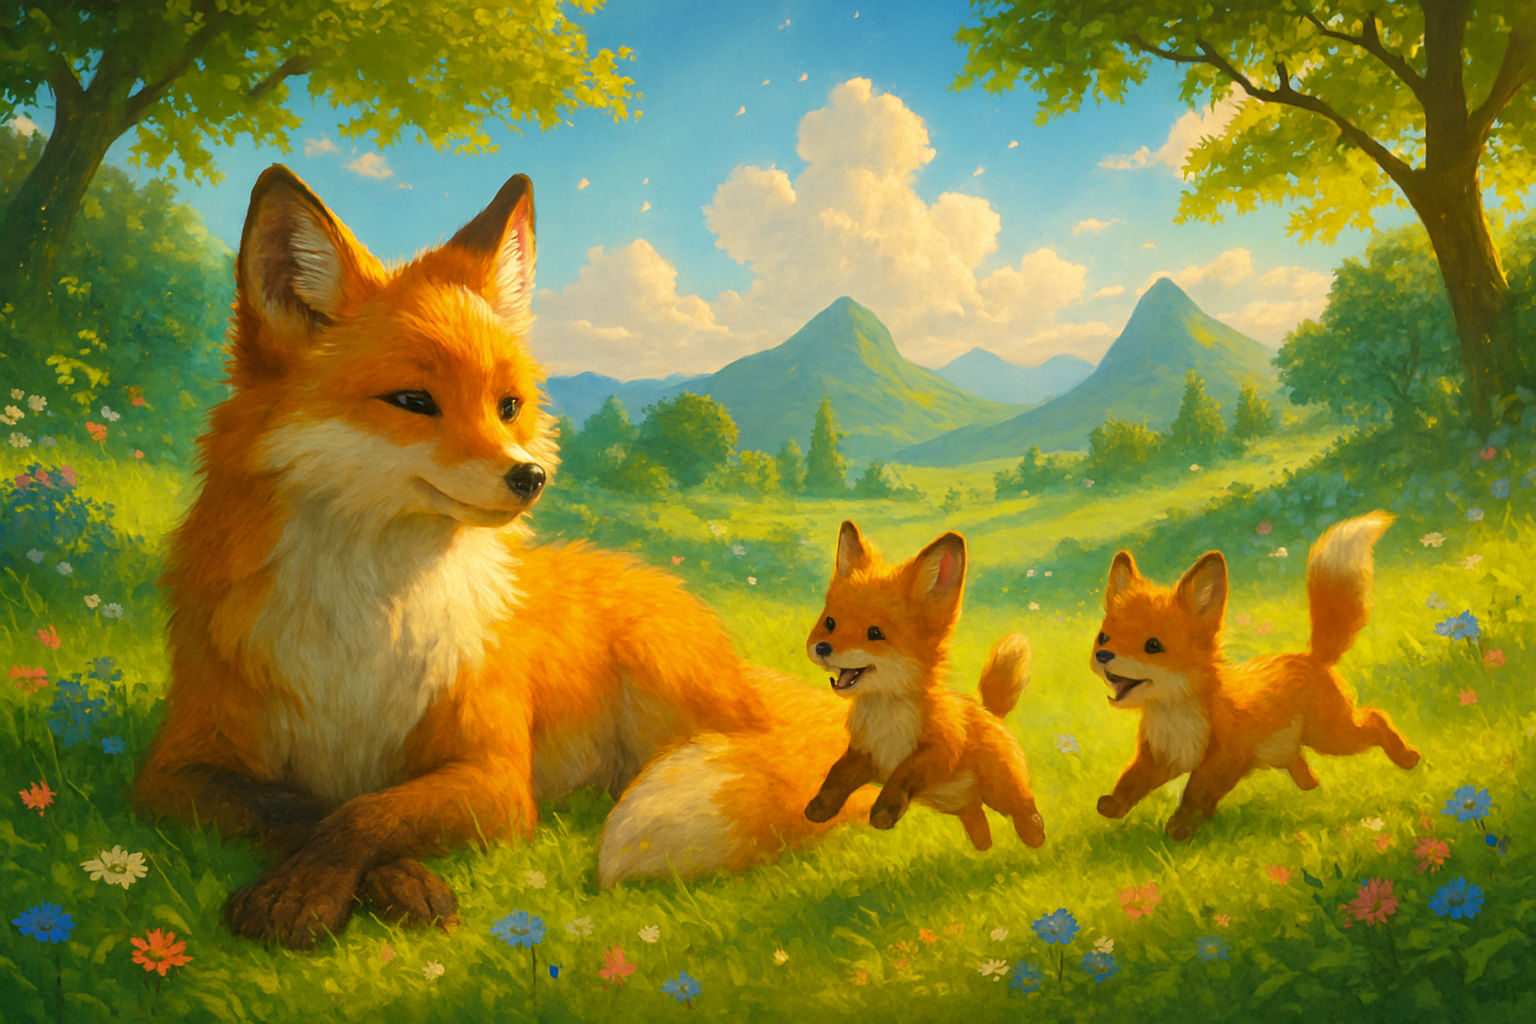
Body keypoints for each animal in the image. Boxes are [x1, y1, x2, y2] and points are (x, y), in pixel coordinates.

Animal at [134, 165, 871, 949]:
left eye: (508, 406)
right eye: (413, 400)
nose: (530, 476)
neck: (367, 621)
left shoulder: (494, 775)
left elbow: (366, 812)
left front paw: (320, 891)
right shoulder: (178, 769)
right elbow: (302, 808)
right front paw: (365, 884)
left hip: (672, 702)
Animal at [802, 521, 1046, 851]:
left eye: (874, 633)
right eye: (830, 623)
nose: (823, 648)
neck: (886, 718)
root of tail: (989, 711)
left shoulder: (940, 751)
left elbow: (904, 773)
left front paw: (883, 812)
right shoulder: (866, 753)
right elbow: (838, 772)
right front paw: (820, 807)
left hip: (1002, 792)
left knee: (1024, 811)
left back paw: (1035, 836)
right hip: (967, 806)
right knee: (978, 822)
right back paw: (983, 846)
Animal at [1090, 510, 1421, 841]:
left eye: (1152, 646)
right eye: (1104, 637)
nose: (1103, 656)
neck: (1175, 714)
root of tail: (1311, 658)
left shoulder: (1223, 757)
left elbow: (1196, 791)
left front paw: (1181, 827)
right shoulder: (1161, 756)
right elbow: (1131, 781)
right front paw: (1113, 806)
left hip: (1333, 736)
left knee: (1376, 717)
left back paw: (1407, 757)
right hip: (1292, 747)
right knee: (1301, 762)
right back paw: (1311, 786)